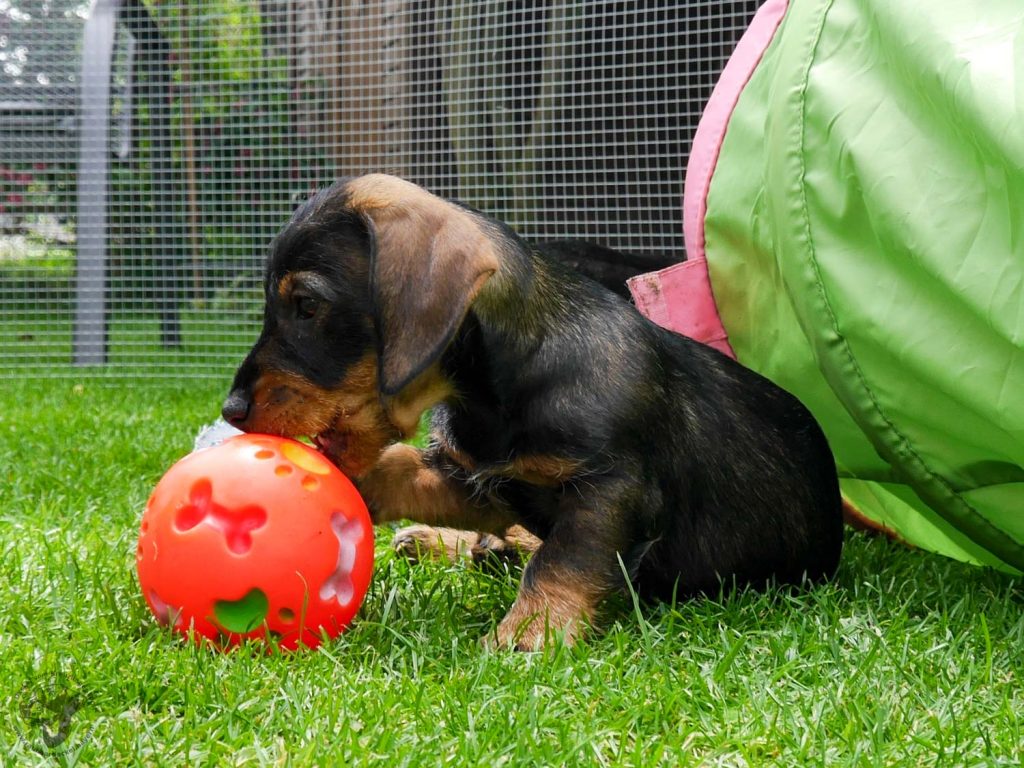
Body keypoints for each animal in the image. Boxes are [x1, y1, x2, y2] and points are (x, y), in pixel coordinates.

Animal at [222, 173, 839, 651]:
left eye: (306, 305)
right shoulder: (479, 478)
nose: (232, 409)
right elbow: (401, 468)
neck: (496, 397)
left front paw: (528, 634)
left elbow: (564, 559)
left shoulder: (609, 490)